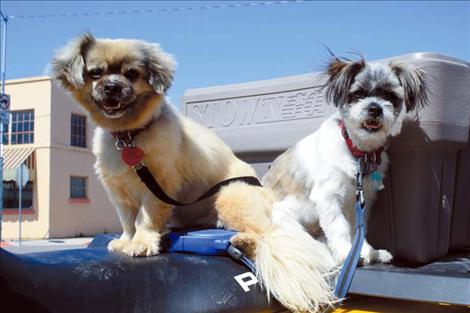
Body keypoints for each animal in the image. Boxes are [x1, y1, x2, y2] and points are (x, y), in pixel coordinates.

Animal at [50, 33, 338, 310]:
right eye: (95, 73)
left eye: (131, 74)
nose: (112, 86)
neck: (129, 136)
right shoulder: (119, 192)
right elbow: (128, 221)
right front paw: (125, 241)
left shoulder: (158, 187)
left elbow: (144, 219)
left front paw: (141, 243)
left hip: (230, 196)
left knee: (269, 234)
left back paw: (242, 241)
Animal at [262, 56, 428, 264]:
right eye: (358, 94)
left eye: (389, 96)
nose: (375, 108)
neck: (358, 153)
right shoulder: (328, 196)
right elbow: (338, 226)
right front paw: (345, 252)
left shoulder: (362, 199)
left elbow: (358, 229)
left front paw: (368, 252)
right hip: (286, 219)